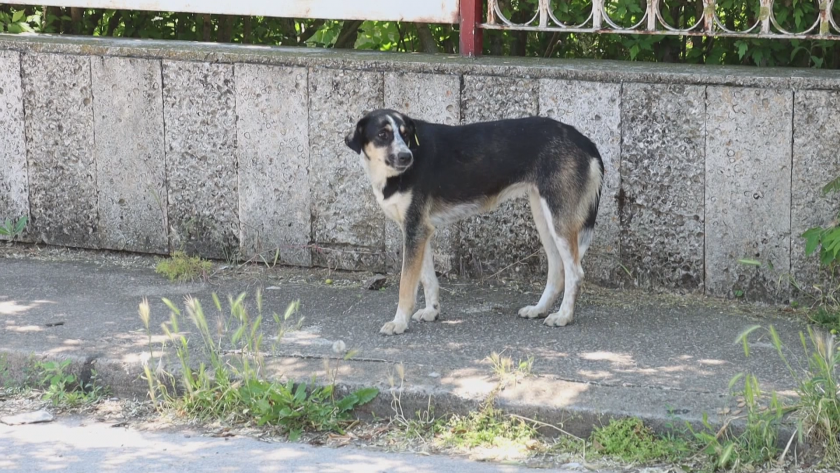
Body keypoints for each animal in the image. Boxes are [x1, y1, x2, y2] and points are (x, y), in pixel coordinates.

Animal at [342, 109, 604, 334]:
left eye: (405, 135)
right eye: (382, 134)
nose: (406, 156)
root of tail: (584, 140)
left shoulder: (415, 230)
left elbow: (406, 286)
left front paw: (399, 323)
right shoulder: (420, 230)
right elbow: (427, 278)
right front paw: (431, 311)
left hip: (559, 221)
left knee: (575, 272)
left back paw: (564, 316)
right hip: (543, 217)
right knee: (558, 270)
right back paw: (539, 309)